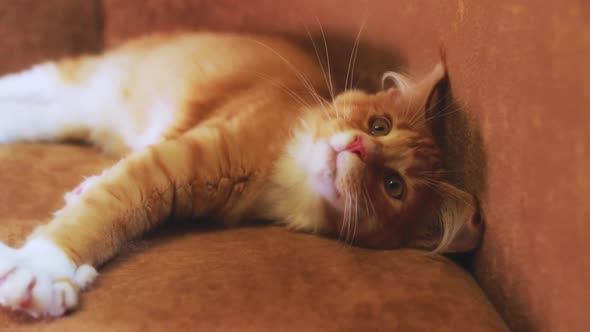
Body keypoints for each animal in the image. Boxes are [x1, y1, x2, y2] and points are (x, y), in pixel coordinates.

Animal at [0, 32, 484, 318]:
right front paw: (41, 268)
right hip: (73, 83)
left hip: (66, 115)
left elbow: (103, 197)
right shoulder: (173, 161)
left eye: (393, 186)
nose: (357, 147)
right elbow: (100, 213)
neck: (287, 169)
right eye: (379, 126)